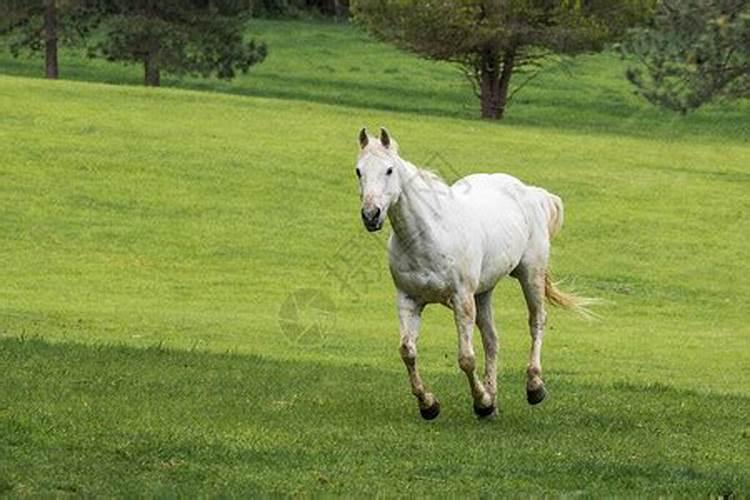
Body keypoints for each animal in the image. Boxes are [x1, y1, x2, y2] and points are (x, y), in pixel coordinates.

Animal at [356, 127, 596, 420]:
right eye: (359, 171)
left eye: (389, 170)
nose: (371, 215)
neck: (430, 234)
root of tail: (529, 192)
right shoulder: (408, 300)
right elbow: (407, 351)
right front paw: (429, 405)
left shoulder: (462, 299)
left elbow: (466, 358)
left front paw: (481, 401)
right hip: (484, 292)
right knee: (492, 340)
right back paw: (492, 401)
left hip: (531, 275)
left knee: (537, 321)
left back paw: (534, 387)